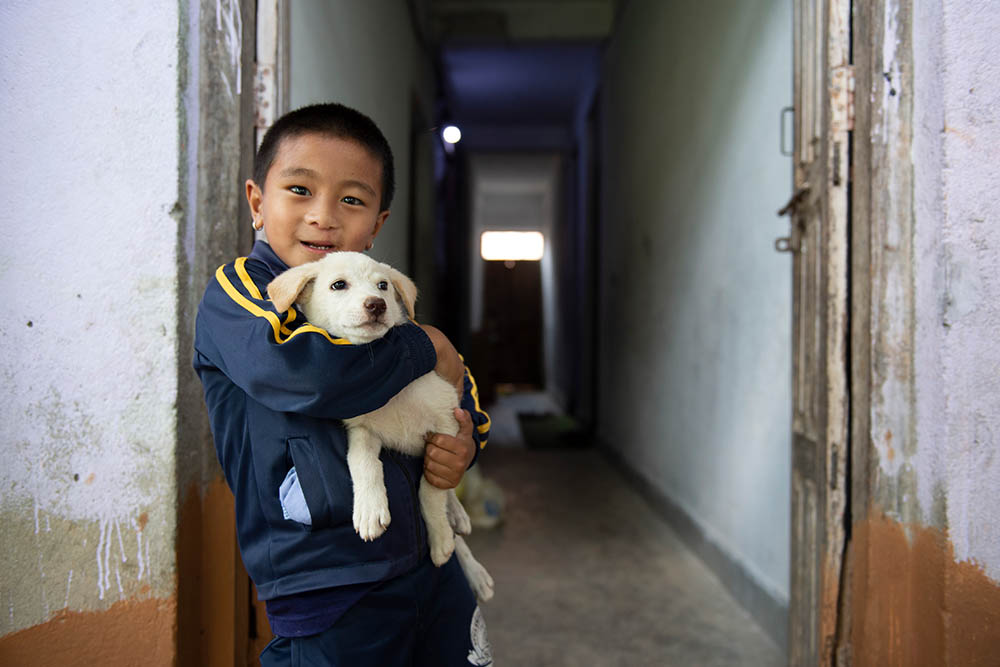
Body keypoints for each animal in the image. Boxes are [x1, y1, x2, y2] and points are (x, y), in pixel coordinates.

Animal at [268, 252, 494, 604]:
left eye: (383, 285)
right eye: (338, 285)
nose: (376, 304)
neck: (394, 393)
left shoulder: (446, 426)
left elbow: (430, 490)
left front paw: (440, 537)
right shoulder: (362, 431)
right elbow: (364, 465)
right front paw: (370, 510)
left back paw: (464, 543)